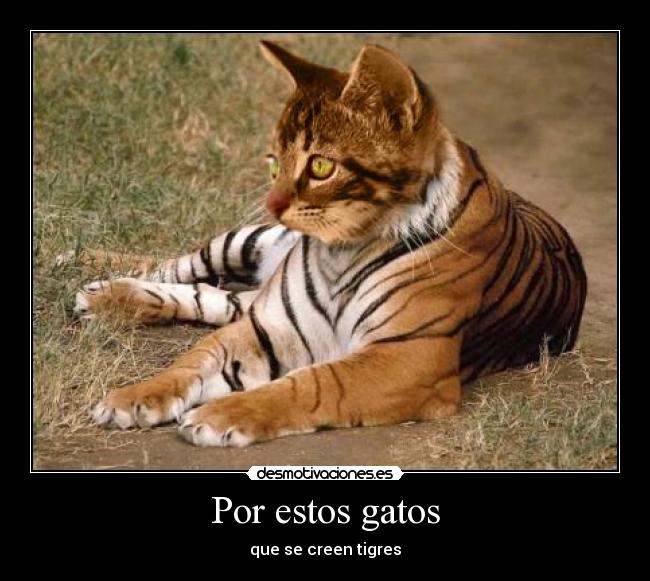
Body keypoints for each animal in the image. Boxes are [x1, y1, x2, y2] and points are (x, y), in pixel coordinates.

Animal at [69, 41, 587, 447]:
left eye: (320, 166)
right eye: (275, 161)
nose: (271, 203)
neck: (343, 250)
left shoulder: (411, 356)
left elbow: (312, 383)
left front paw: (217, 417)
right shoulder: (267, 326)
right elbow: (193, 359)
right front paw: (129, 399)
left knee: (214, 296)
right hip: (250, 242)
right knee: (181, 267)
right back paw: (88, 275)